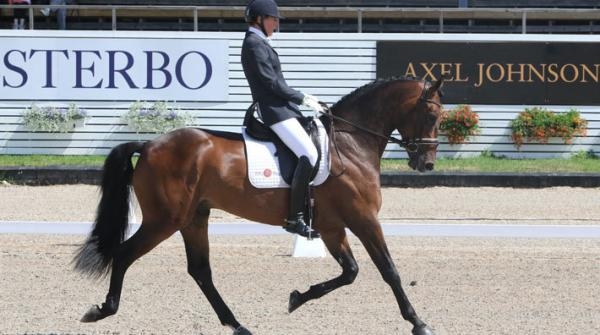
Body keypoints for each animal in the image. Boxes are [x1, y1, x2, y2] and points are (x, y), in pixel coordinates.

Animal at [74, 75, 446, 335]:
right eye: (431, 114)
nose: (426, 164)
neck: (350, 145)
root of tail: (149, 144)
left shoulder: (332, 227)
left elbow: (351, 272)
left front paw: (297, 298)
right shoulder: (363, 219)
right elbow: (389, 270)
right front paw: (418, 322)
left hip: (194, 217)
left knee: (200, 271)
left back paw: (237, 325)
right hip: (164, 220)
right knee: (125, 254)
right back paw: (103, 309)